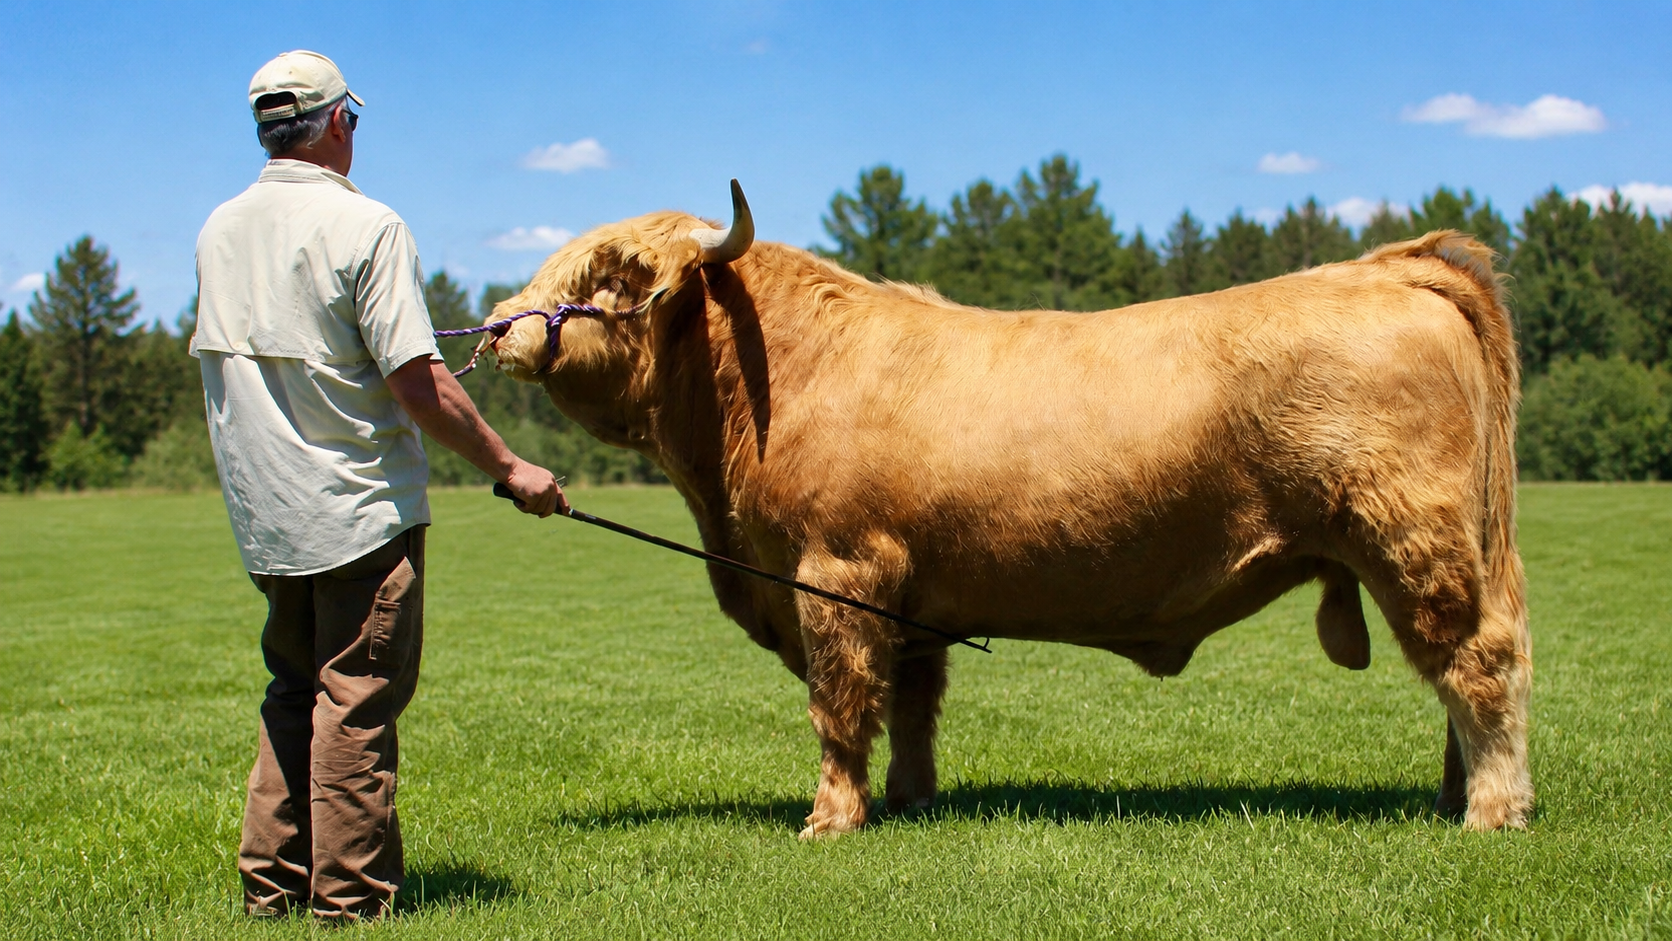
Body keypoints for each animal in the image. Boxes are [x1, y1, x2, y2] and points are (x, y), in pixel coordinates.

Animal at [488, 182, 1532, 837]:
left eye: (610, 280)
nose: (497, 326)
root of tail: (1391, 264)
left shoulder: (834, 573)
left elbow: (840, 705)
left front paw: (830, 818)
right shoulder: (903, 600)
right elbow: (910, 706)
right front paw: (907, 799)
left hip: (1413, 540)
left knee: (1481, 665)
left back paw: (1491, 810)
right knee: (1459, 676)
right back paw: (1452, 797)